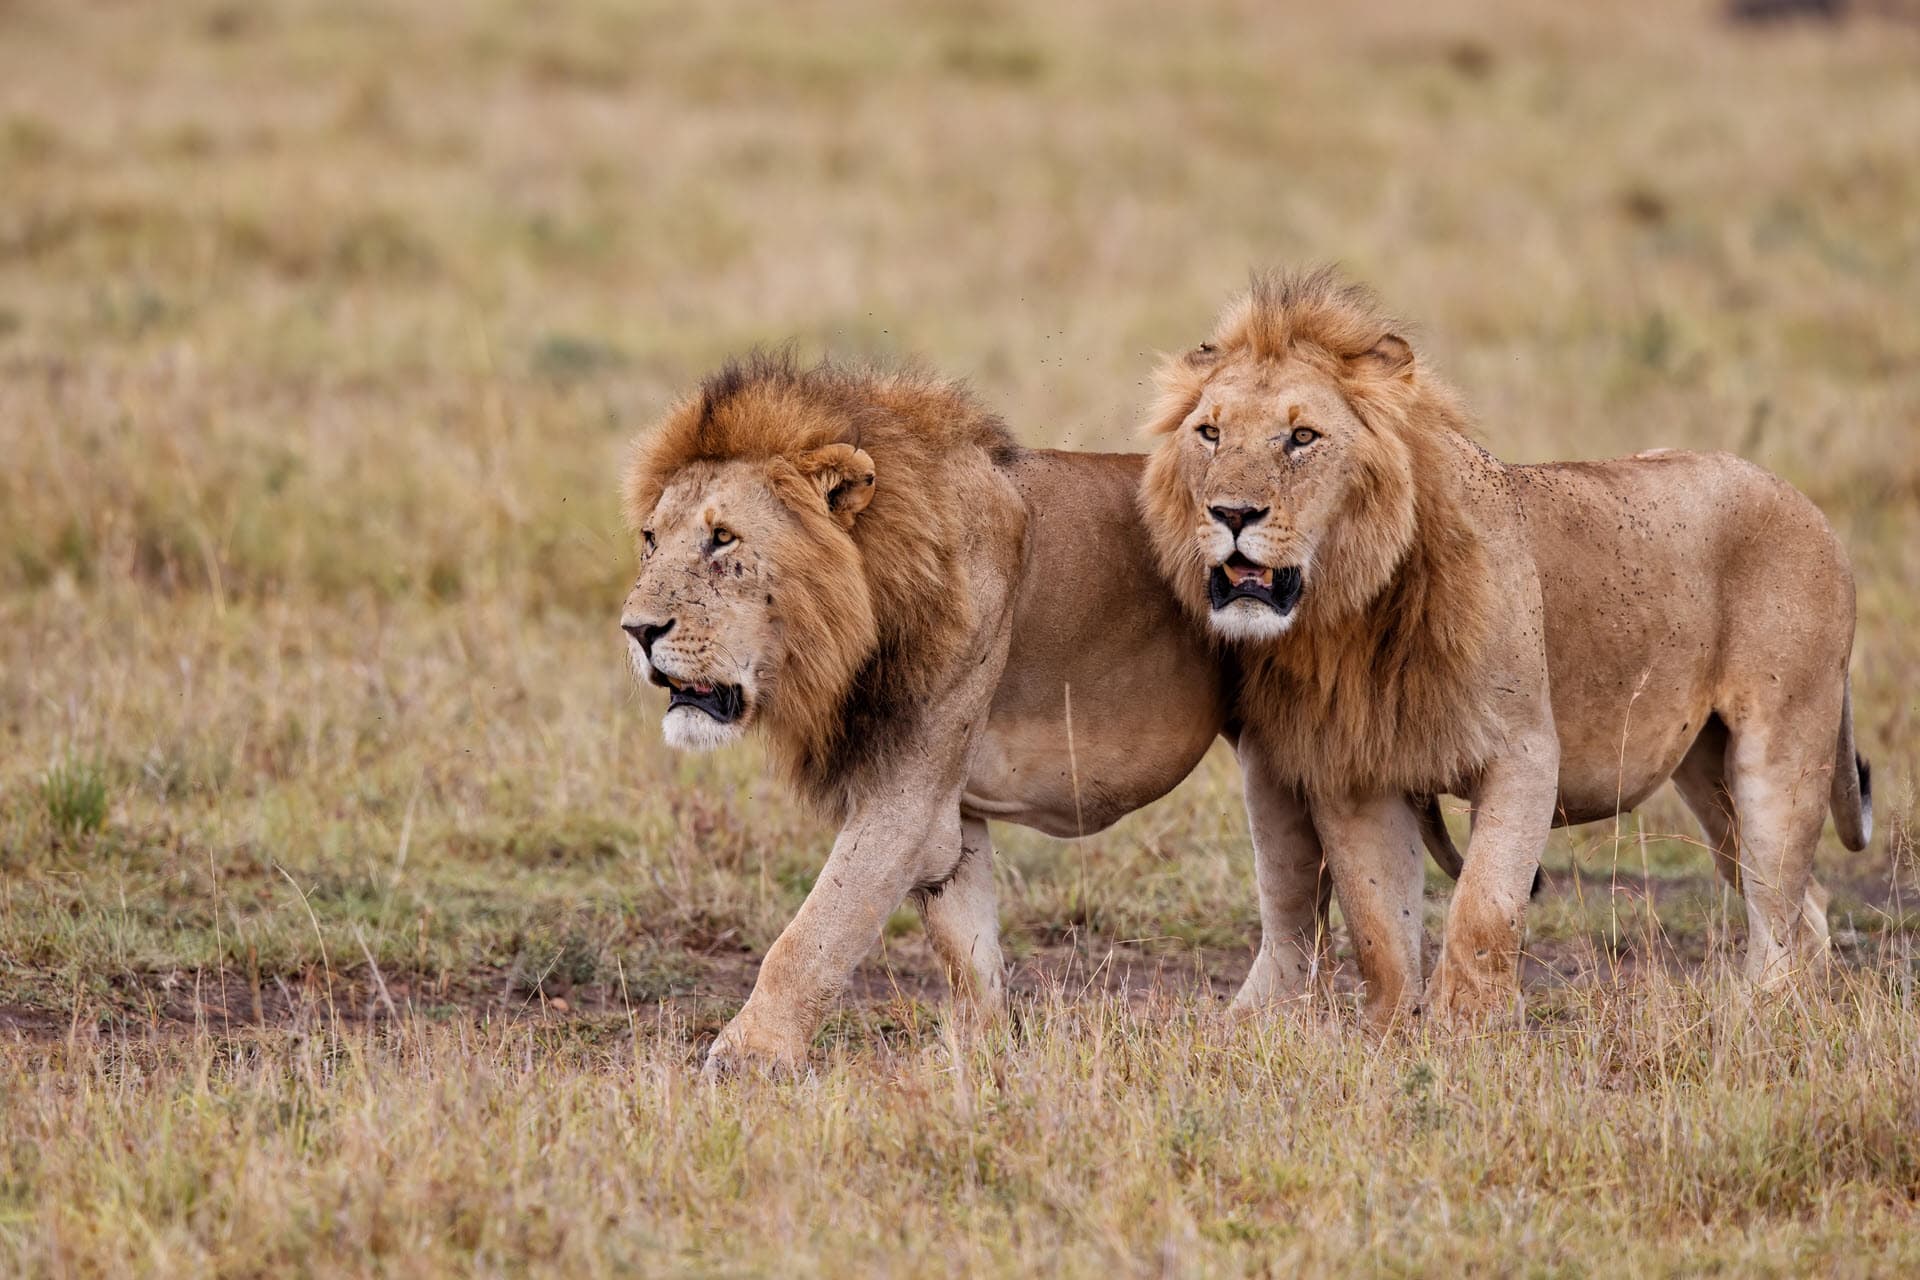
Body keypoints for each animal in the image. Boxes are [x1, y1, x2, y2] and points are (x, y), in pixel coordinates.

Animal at [619, 353, 1461, 1070]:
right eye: (650, 540)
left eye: (722, 540)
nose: (636, 631)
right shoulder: (943, 810)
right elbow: (965, 942)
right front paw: (979, 1053)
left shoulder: (904, 795)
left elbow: (816, 930)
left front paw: (746, 1058)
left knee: (1297, 904)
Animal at [1139, 268, 1872, 1023]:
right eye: (1210, 433)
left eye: (1302, 436)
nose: (1231, 513)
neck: (1354, 617)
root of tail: (1800, 500)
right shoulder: (1355, 771)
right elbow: (1379, 931)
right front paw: (1393, 1032)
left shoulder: (1525, 752)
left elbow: (1484, 908)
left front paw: (1467, 1030)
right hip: (1708, 771)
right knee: (1803, 905)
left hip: (1782, 751)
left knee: (1779, 899)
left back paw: (1753, 1013)